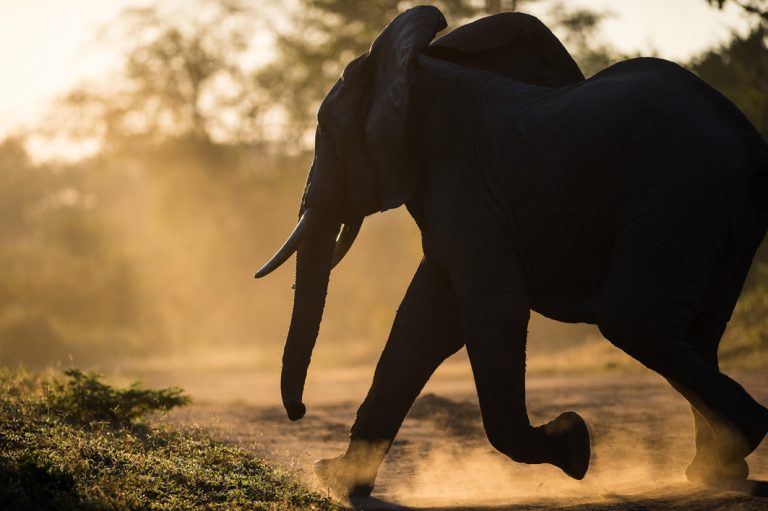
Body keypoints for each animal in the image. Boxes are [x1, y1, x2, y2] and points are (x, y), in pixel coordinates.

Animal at [256, 5, 768, 500]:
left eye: (326, 131)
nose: (299, 411)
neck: (419, 69)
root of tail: (747, 138)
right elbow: (423, 324)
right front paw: (338, 481)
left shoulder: (469, 192)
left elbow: (490, 310)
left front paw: (573, 445)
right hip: (717, 214)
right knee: (697, 332)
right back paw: (715, 469)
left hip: (677, 194)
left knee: (636, 323)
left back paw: (738, 443)